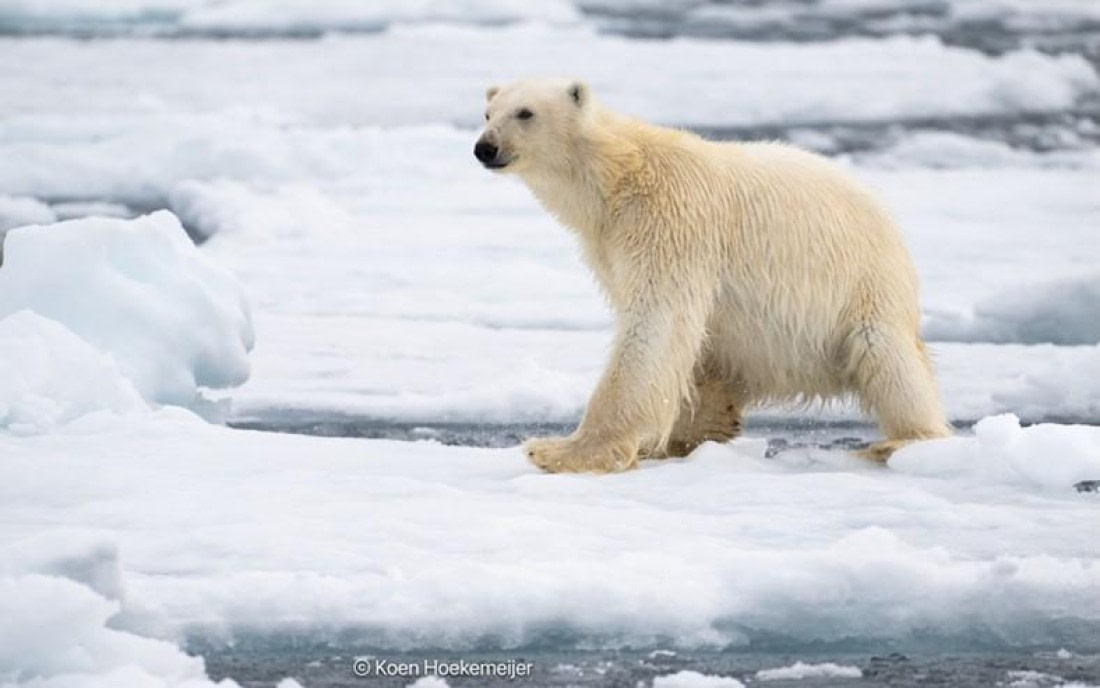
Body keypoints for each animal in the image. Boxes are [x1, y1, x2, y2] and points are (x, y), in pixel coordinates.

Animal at [474, 78, 952, 473]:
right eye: (488, 112)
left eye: (525, 112)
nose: (485, 147)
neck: (617, 177)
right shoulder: (610, 245)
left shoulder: (670, 223)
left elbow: (656, 323)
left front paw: (560, 450)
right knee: (714, 356)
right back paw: (696, 431)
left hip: (865, 289)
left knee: (887, 359)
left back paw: (900, 442)